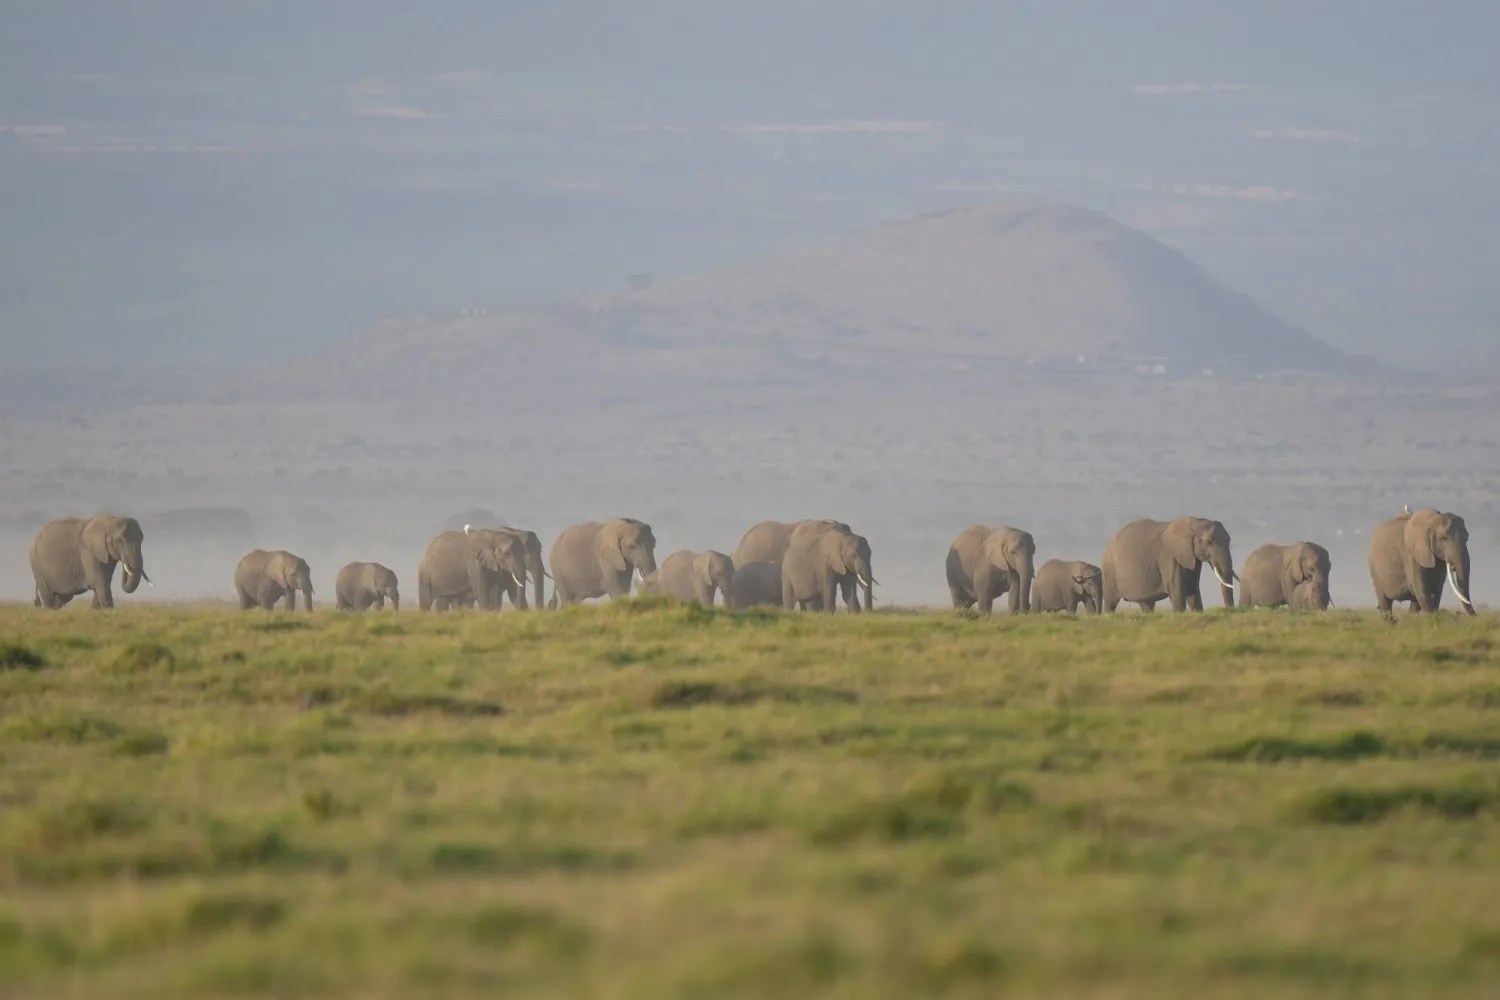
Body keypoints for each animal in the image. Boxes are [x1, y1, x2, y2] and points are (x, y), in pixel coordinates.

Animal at [1102, 517, 1236, 613]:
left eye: (1229, 541)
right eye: (1209, 541)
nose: (1229, 609)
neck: (1195, 522)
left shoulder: (1191, 557)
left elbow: (1192, 589)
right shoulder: (1168, 557)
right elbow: (1177, 589)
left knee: (1146, 604)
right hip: (1110, 571)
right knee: (1110, 602)